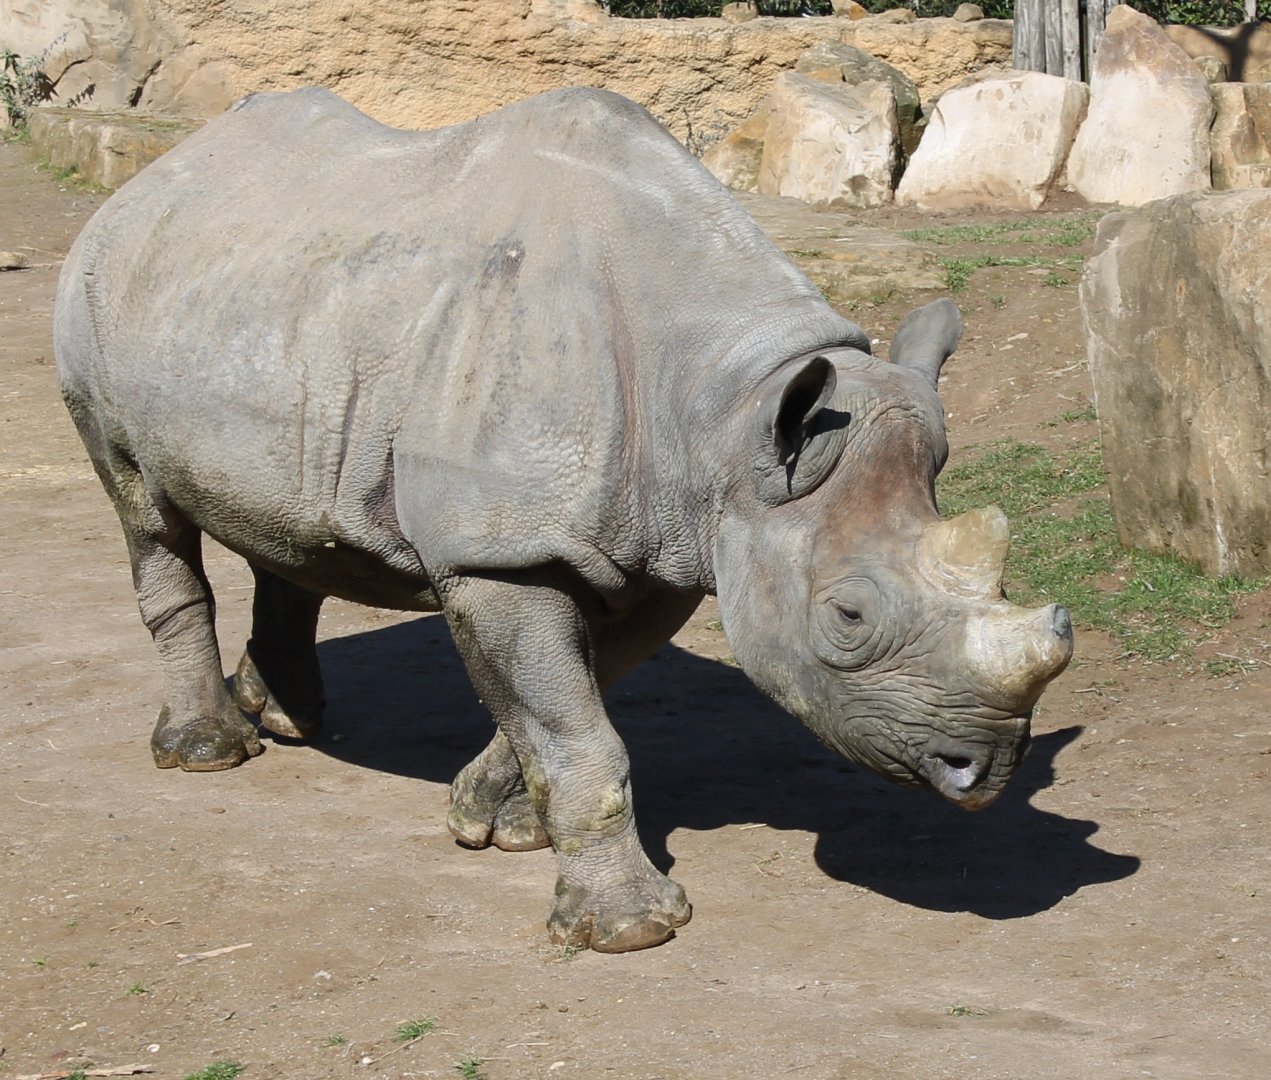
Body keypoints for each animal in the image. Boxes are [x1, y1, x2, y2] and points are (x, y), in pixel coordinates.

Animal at [55, 87, 1072, 953]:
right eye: (848, 618)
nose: (985, 770)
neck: (727, 414)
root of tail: (154, 175)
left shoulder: (662, 548)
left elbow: (572, 698)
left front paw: (491, 821)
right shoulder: (502, 549)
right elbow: (576, 727)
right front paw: (628, 929)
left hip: (269, 301)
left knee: (286, 524)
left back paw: (288, 717)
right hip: (97, 299)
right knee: (143, 507)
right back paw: (206, 753)